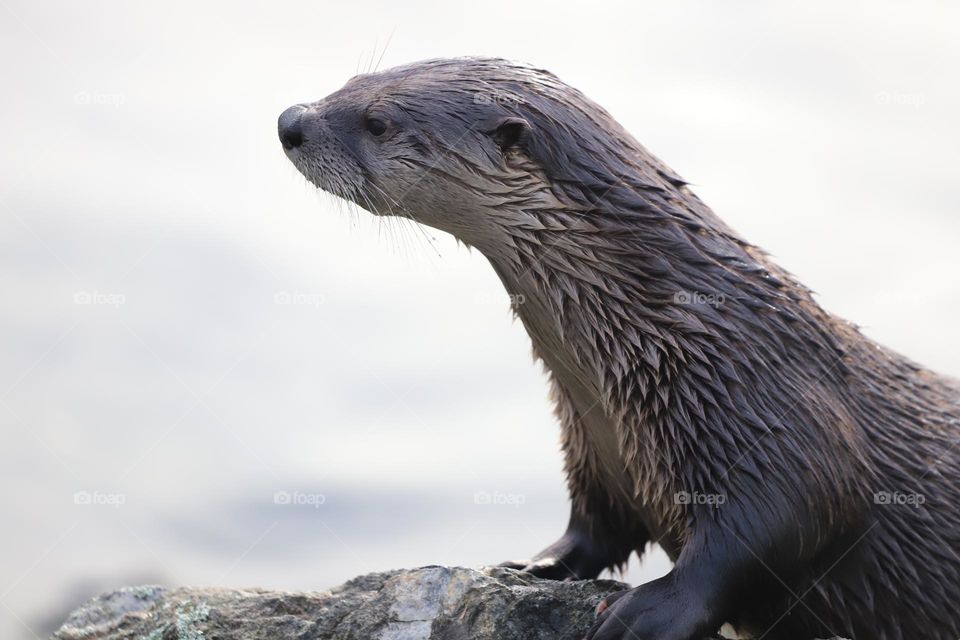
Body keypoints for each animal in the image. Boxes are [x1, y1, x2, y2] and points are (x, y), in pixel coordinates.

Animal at [278, 57, 960, 636]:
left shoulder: (774, 413)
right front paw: (534, 566)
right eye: (351, 78)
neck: (673, 334)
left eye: (378, 120)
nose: (290, 121)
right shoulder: (594, 442)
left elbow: (790, 517)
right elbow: (596, 526)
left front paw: (651, 610)